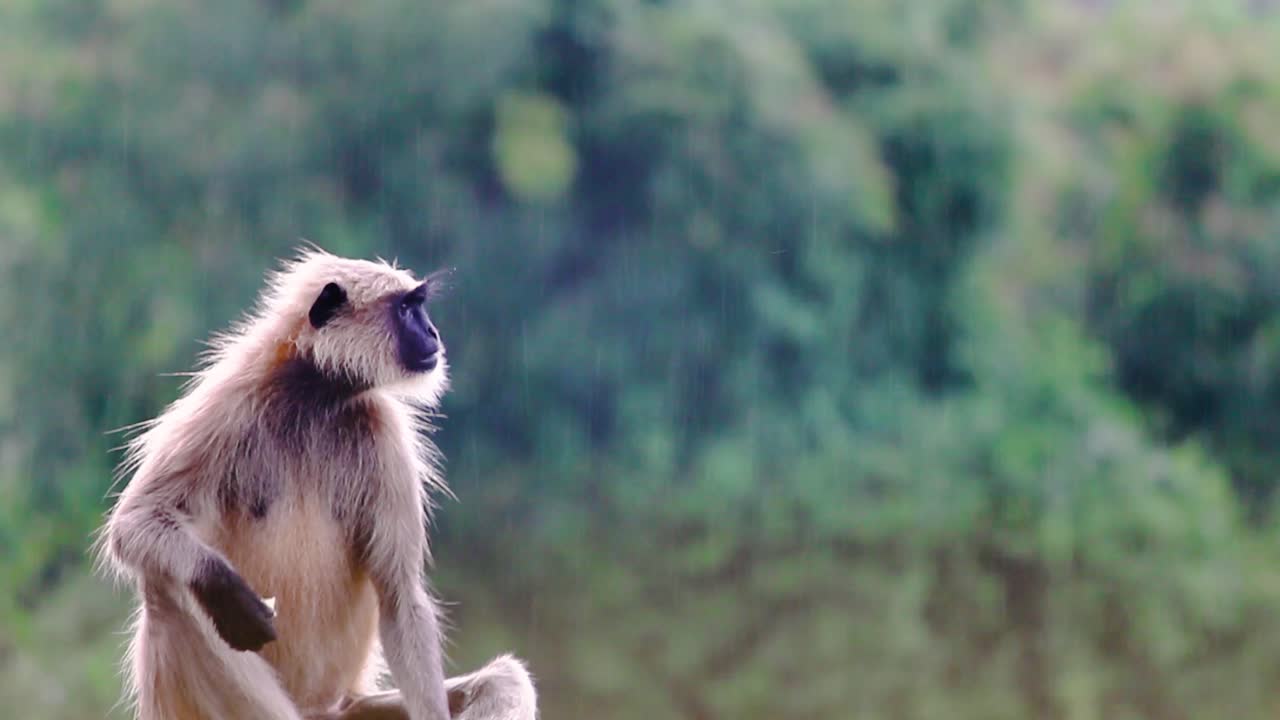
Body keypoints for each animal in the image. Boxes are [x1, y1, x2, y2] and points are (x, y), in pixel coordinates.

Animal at [96, 249, 537, 720]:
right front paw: (222, 585)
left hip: (349, 707)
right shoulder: (225, 404)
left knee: (504, 679)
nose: (433, 333)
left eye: (418, 307)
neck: (315, 397)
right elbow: (135, 521)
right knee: (168, 590)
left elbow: (399, 595)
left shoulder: (385, 432)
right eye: (406, 309)